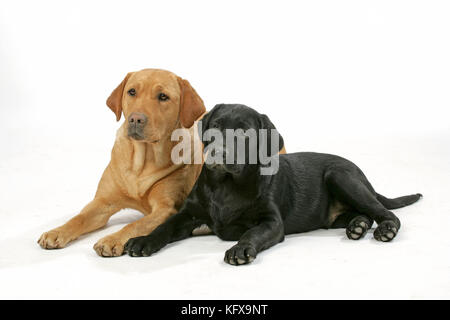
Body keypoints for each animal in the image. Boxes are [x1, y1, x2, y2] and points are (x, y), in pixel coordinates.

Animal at [123, 104, 422, 264]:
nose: (218, 152)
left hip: (341, 176)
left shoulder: (271, 221)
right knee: (362, 214)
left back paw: (385, 230)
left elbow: (252, 233)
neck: (226, 186)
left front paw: (240, 249)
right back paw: (357, 226)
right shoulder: (188, 214)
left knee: (384, 212)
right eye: (215, 125)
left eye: (245, 133)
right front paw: (142, 241)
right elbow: (163, 227)